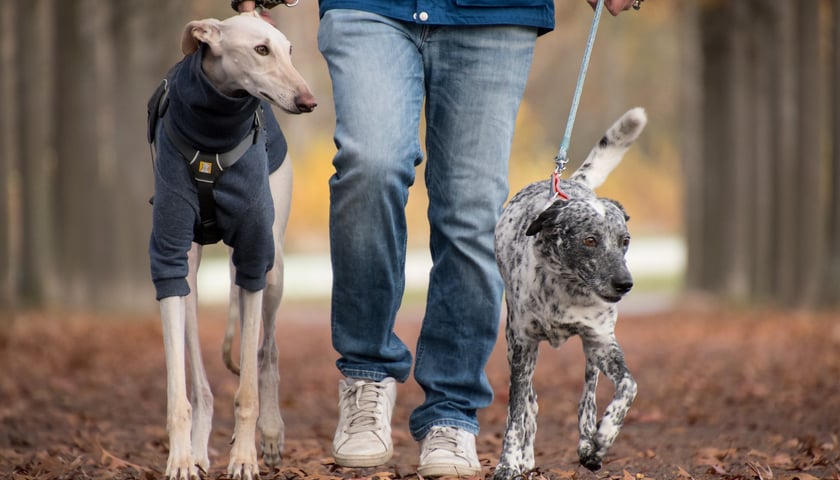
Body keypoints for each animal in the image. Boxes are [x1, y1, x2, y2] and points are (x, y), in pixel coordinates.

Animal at [496, 107, 648, 478]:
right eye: (589, 240)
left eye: (625, 241)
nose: (625, 284)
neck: (566, 289)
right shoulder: (522, 345)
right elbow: (515, 415)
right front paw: (509, 463)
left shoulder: (601, 341)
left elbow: (628, 387)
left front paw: (604, 436)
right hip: (514, 344)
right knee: (530, 402)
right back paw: (526, 457)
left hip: (593, 352)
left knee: (587, 396)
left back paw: (588, 440)